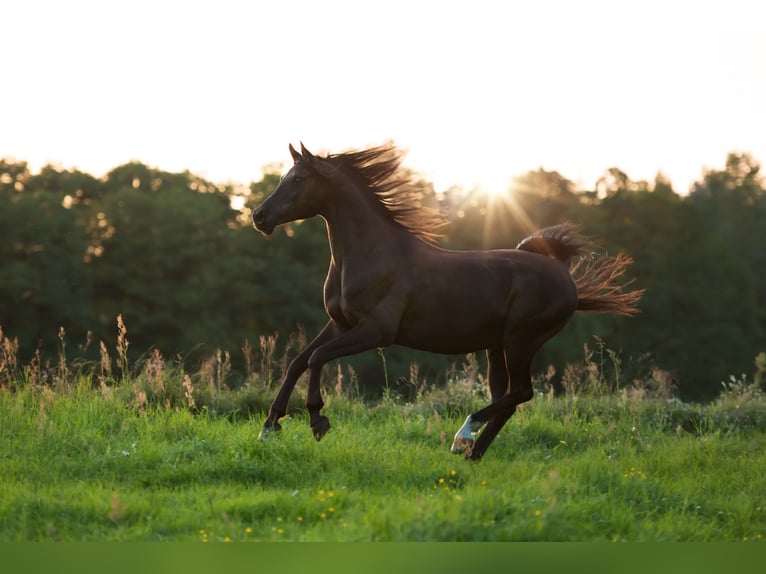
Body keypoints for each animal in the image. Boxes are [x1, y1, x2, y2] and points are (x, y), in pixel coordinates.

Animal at [255, 144, 644, 464]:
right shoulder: (341, 323)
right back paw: (472, 454)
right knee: (509, 398)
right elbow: (298, 361)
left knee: (520, 392)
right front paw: (269, 427)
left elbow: (317, 358)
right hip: (496, 346)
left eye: (299, 178)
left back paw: (463, 435)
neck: (371, 255)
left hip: (521, 340)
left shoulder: (376, 331)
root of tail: (564, 275)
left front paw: (317, 420)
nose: (259, 216)